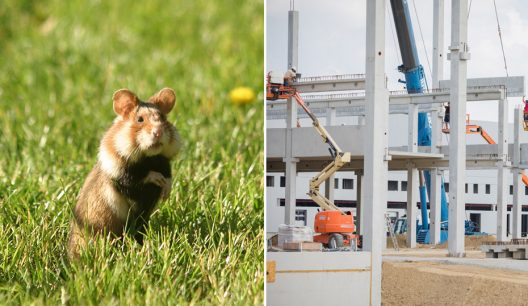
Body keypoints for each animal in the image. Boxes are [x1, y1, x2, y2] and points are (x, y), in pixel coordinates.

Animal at [68, 87, 182, 260]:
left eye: (162, 118)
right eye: (140, 119)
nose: (158, 132)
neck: (148, 158)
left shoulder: (162, 162)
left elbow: (167, 175)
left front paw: (165, 193)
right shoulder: (122, 176)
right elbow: (138, 177)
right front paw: (158, 180)